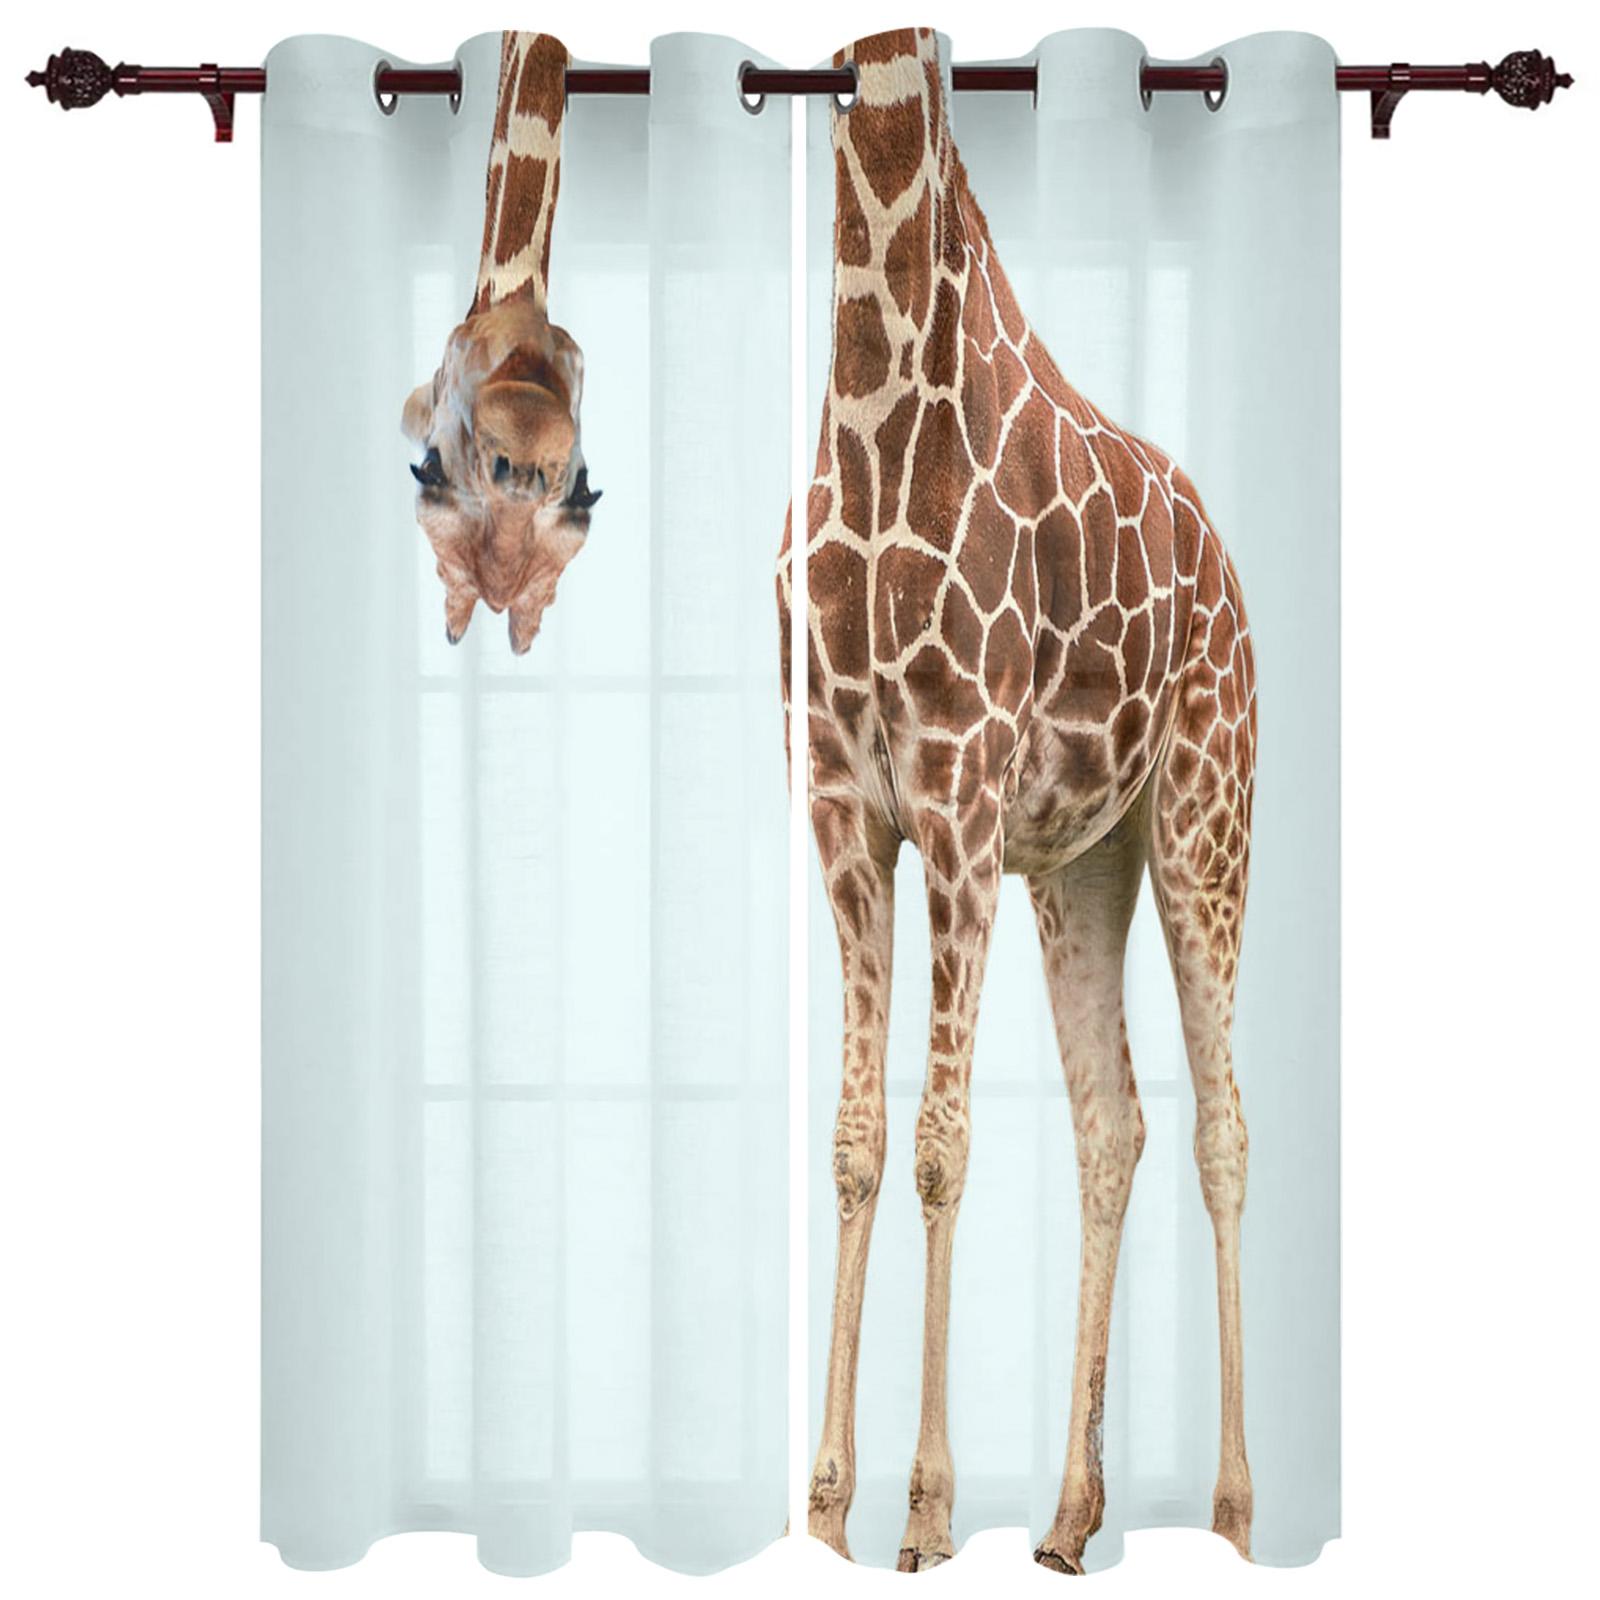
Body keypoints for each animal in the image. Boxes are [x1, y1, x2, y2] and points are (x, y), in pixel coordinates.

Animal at [778, 27, 1258, 1574]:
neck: (875, 416)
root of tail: (1224, 559)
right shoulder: (845, 812)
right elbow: (859, 1142)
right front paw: (826, 1510)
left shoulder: (955, 806)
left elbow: (942, 1144)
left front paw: (926, 1512)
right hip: (1079, 867)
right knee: (1115, 1125)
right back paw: (1065, 1518)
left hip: (1204, 823)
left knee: (1223, 1125)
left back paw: (1232, 1517)